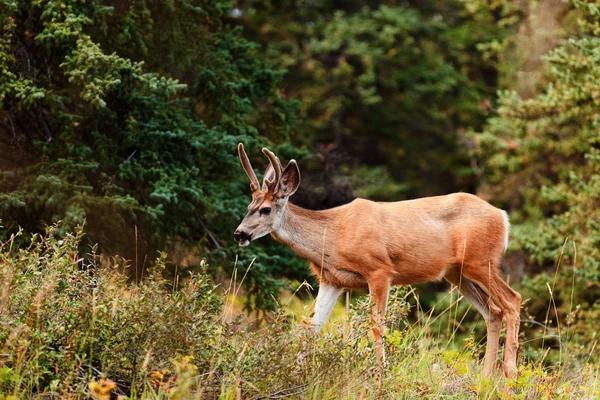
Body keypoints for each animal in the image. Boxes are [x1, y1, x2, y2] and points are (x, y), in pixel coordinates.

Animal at [233, 144, 520, 378]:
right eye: (248, 206)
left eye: (265, 209)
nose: (239, 233)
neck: (332, 236)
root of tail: (503, 216)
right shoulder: (332, 279)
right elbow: (312, 328)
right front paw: (293, 373)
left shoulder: (379, 269)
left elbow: (376, 326)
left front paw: (380, 374)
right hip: (456, 272)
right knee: (493, 312)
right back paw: (486, 377)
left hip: (480, 260)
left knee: (512, 301)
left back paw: (510, 375)